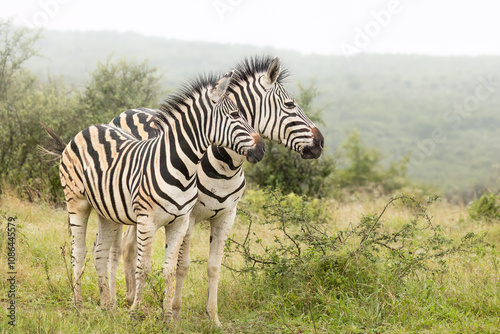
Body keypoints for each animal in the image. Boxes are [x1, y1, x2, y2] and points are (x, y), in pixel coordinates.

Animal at [42, 72, 266, 320]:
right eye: (235, 115)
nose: (261, 150)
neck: (183, 167)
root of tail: (88, 129)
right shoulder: (147, 221)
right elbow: (144, 267)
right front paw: (135, 313)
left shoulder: (180, 221)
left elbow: (169, 270)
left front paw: (167, 317)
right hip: (76, 202)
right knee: (78, 251)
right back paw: (78, 305)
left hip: (106, 210)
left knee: (99, 251)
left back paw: (107, 306)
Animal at [110, 55, 324, 326]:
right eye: (289, 104)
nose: (321, 143)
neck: (226, 165)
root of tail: (129, 111)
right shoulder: (189, 215)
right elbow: (183, 265)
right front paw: (175, 312)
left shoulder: (227, 216)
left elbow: (213, 266)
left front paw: (212, 317)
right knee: (121, 247)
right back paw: (122, 300)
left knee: (129, 245)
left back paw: (130, 297)